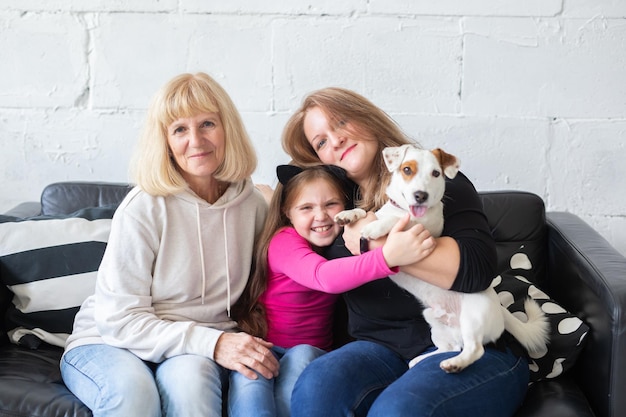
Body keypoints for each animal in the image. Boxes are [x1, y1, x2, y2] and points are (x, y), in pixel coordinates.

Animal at [332, 145, 544, 372]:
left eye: (435, 173)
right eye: (407, 169)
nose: (421, 195)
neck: (404, 209)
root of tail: (501, 311)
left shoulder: (425, 233)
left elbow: (397, 221)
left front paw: (375, 227)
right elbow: (366, 211)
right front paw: (349, 214)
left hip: (473, 316)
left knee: (475, 349)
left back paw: (455, 364)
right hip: (434, 321)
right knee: (451, 347)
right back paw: (420, 360)